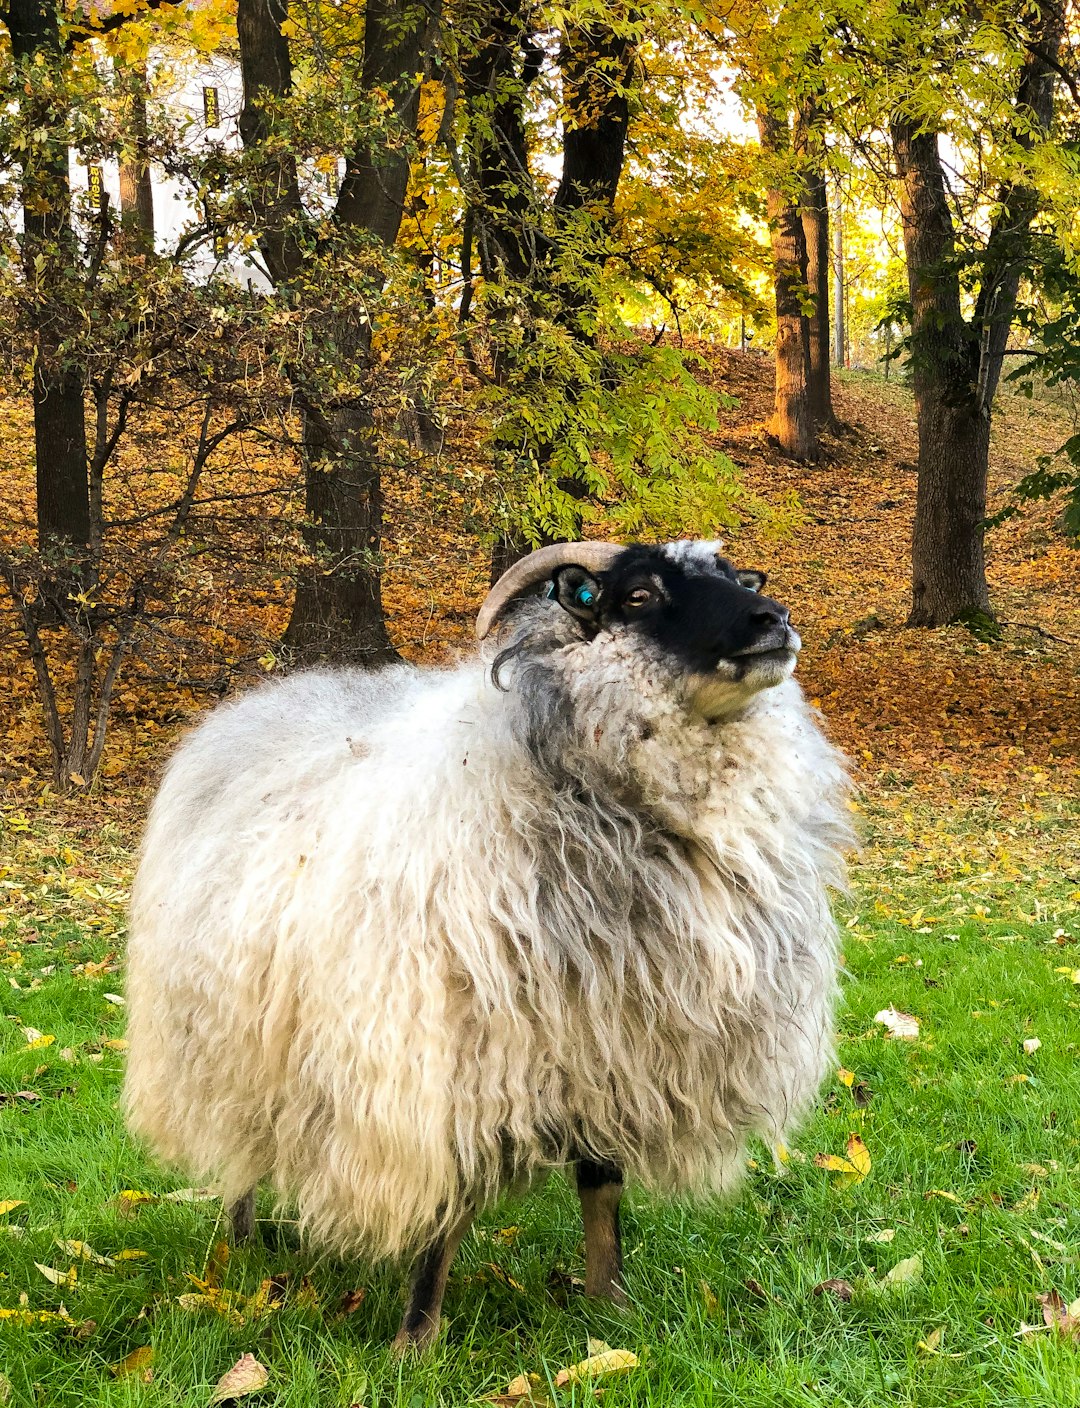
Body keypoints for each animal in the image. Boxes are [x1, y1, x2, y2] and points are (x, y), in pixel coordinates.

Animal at [122, 540, 856, 1351]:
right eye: (637, 596)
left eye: (738, 578)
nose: (773, 618)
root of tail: (245, 707)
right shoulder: (458, 1057)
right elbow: (447, 1210)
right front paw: (415, 1341)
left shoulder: (609, 1044)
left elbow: (603, 1185)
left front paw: (610, 1306)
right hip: (225, 1037)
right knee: (240, 1148)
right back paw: (243, 1243)